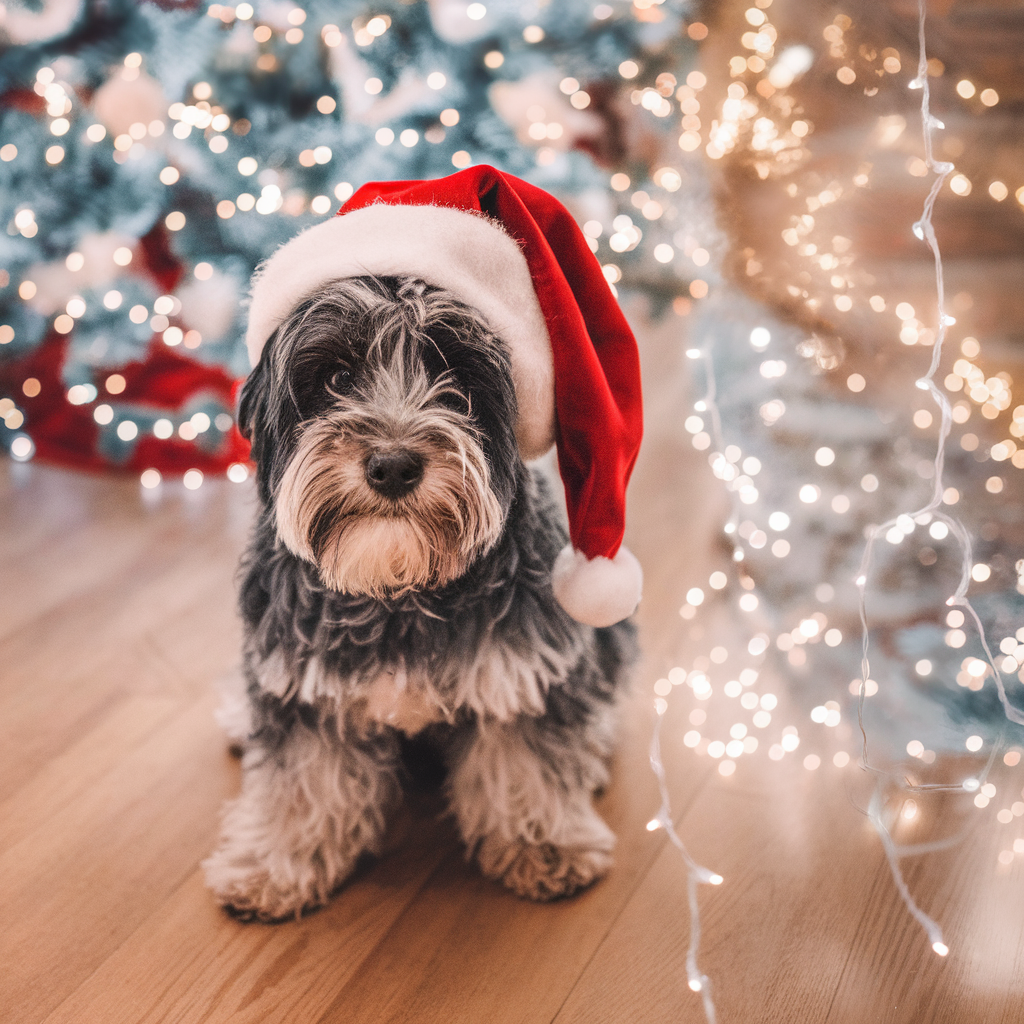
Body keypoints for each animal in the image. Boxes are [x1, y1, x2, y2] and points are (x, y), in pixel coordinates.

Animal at [202, 274, 634, 921]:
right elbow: (301, 782)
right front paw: (274, 861)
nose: (393, 465)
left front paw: (543, 844)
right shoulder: (302, 688)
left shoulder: (519, 674)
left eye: (455, 375)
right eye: (336, 378)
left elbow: (525, 763)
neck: (397, 590)